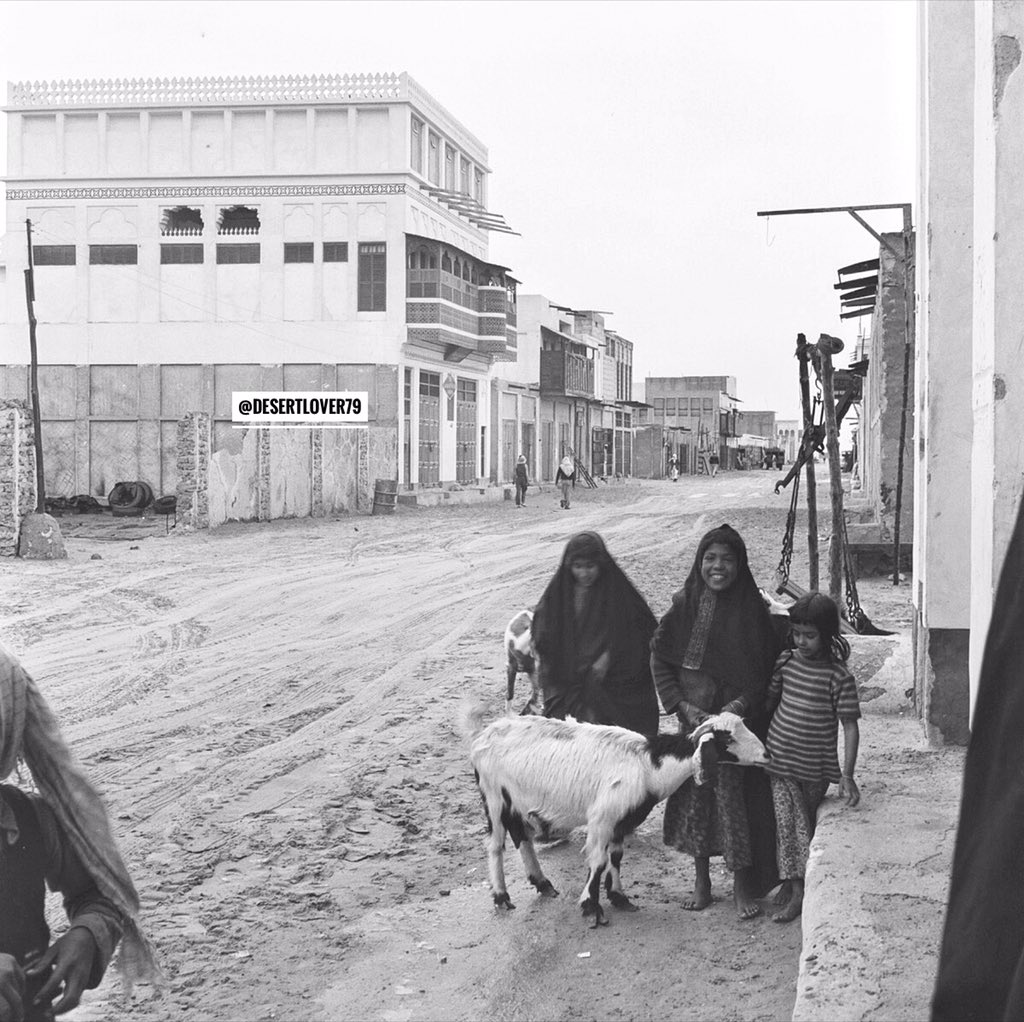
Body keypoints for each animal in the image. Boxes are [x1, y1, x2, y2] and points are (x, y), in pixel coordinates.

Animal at [461, 706, 770, 928]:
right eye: (727, 737)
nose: (766, 755)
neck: (649, 765)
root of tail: (483, 735)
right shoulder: (603, 817)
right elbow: (598, 861)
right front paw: (592, 907)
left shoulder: (623, 820)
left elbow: (617, 857)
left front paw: (619, 897)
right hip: (494, 797)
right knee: (495, 845)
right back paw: (501, 896)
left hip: (515, 801)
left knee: (521, 837)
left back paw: (543, 883)